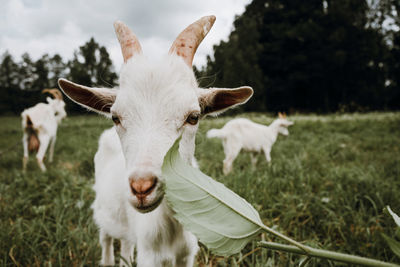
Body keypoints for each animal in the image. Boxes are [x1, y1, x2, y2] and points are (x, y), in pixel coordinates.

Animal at [57, 15, 253, 266]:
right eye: (115, 117)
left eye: (193, 117)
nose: (142, 187)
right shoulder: (148, 254)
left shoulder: (187, 254)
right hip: (103, 211)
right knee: (106, 240)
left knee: (126, 244)